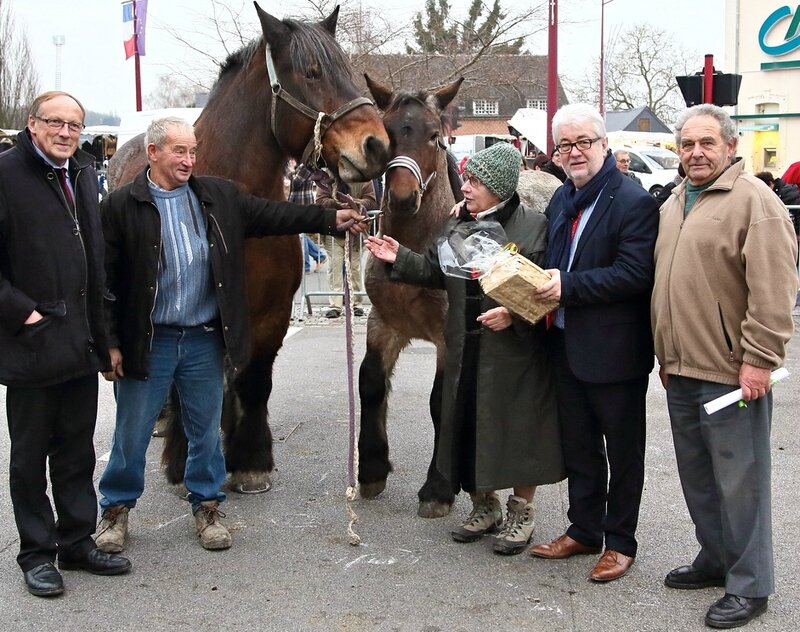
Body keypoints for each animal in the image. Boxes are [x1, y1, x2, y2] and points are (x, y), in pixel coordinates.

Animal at [108, 1, 392, 494]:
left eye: (349, 71)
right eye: (312, 73)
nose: (376, 145)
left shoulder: (270, 315)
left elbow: (254, 381)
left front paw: (250, 459)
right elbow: (189, 387)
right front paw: (183, 461)